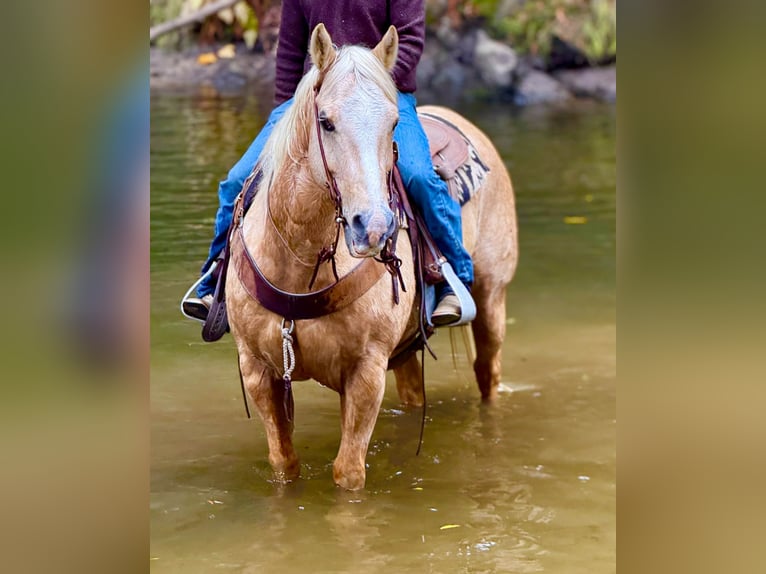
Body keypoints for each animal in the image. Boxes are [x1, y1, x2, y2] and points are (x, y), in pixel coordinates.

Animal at [226, 24, 518, 490]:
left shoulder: (366, 372)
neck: (299, 261)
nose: (374, 227)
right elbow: (283, 463)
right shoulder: (257, 371)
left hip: (492, 298)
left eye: (394, 122)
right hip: (406, 349)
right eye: (325, 122)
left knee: (487, 372)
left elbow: (348, 473)